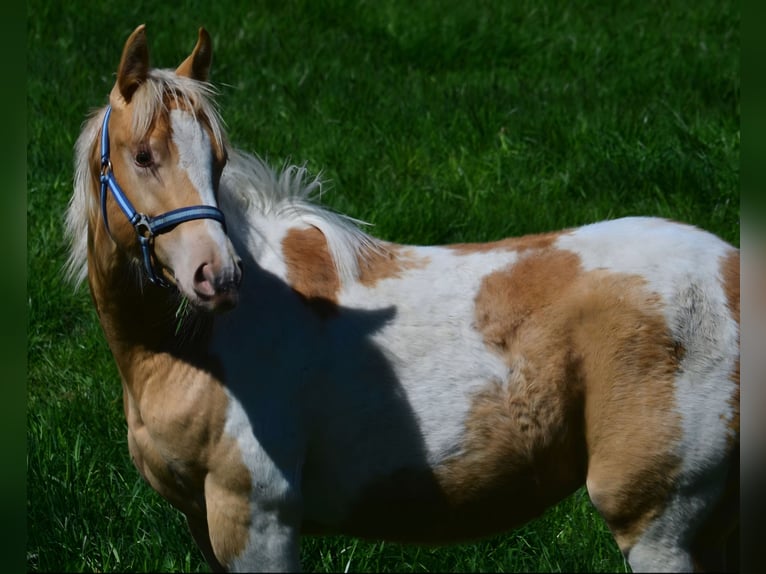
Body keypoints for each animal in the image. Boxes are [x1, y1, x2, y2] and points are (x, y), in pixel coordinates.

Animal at [65, 24, 740, 573]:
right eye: (143, 156)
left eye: (219, 159)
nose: (219, 276)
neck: (187, 351)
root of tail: (734, 274)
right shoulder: (203, 525)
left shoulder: (257, 520)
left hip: (659, 529)